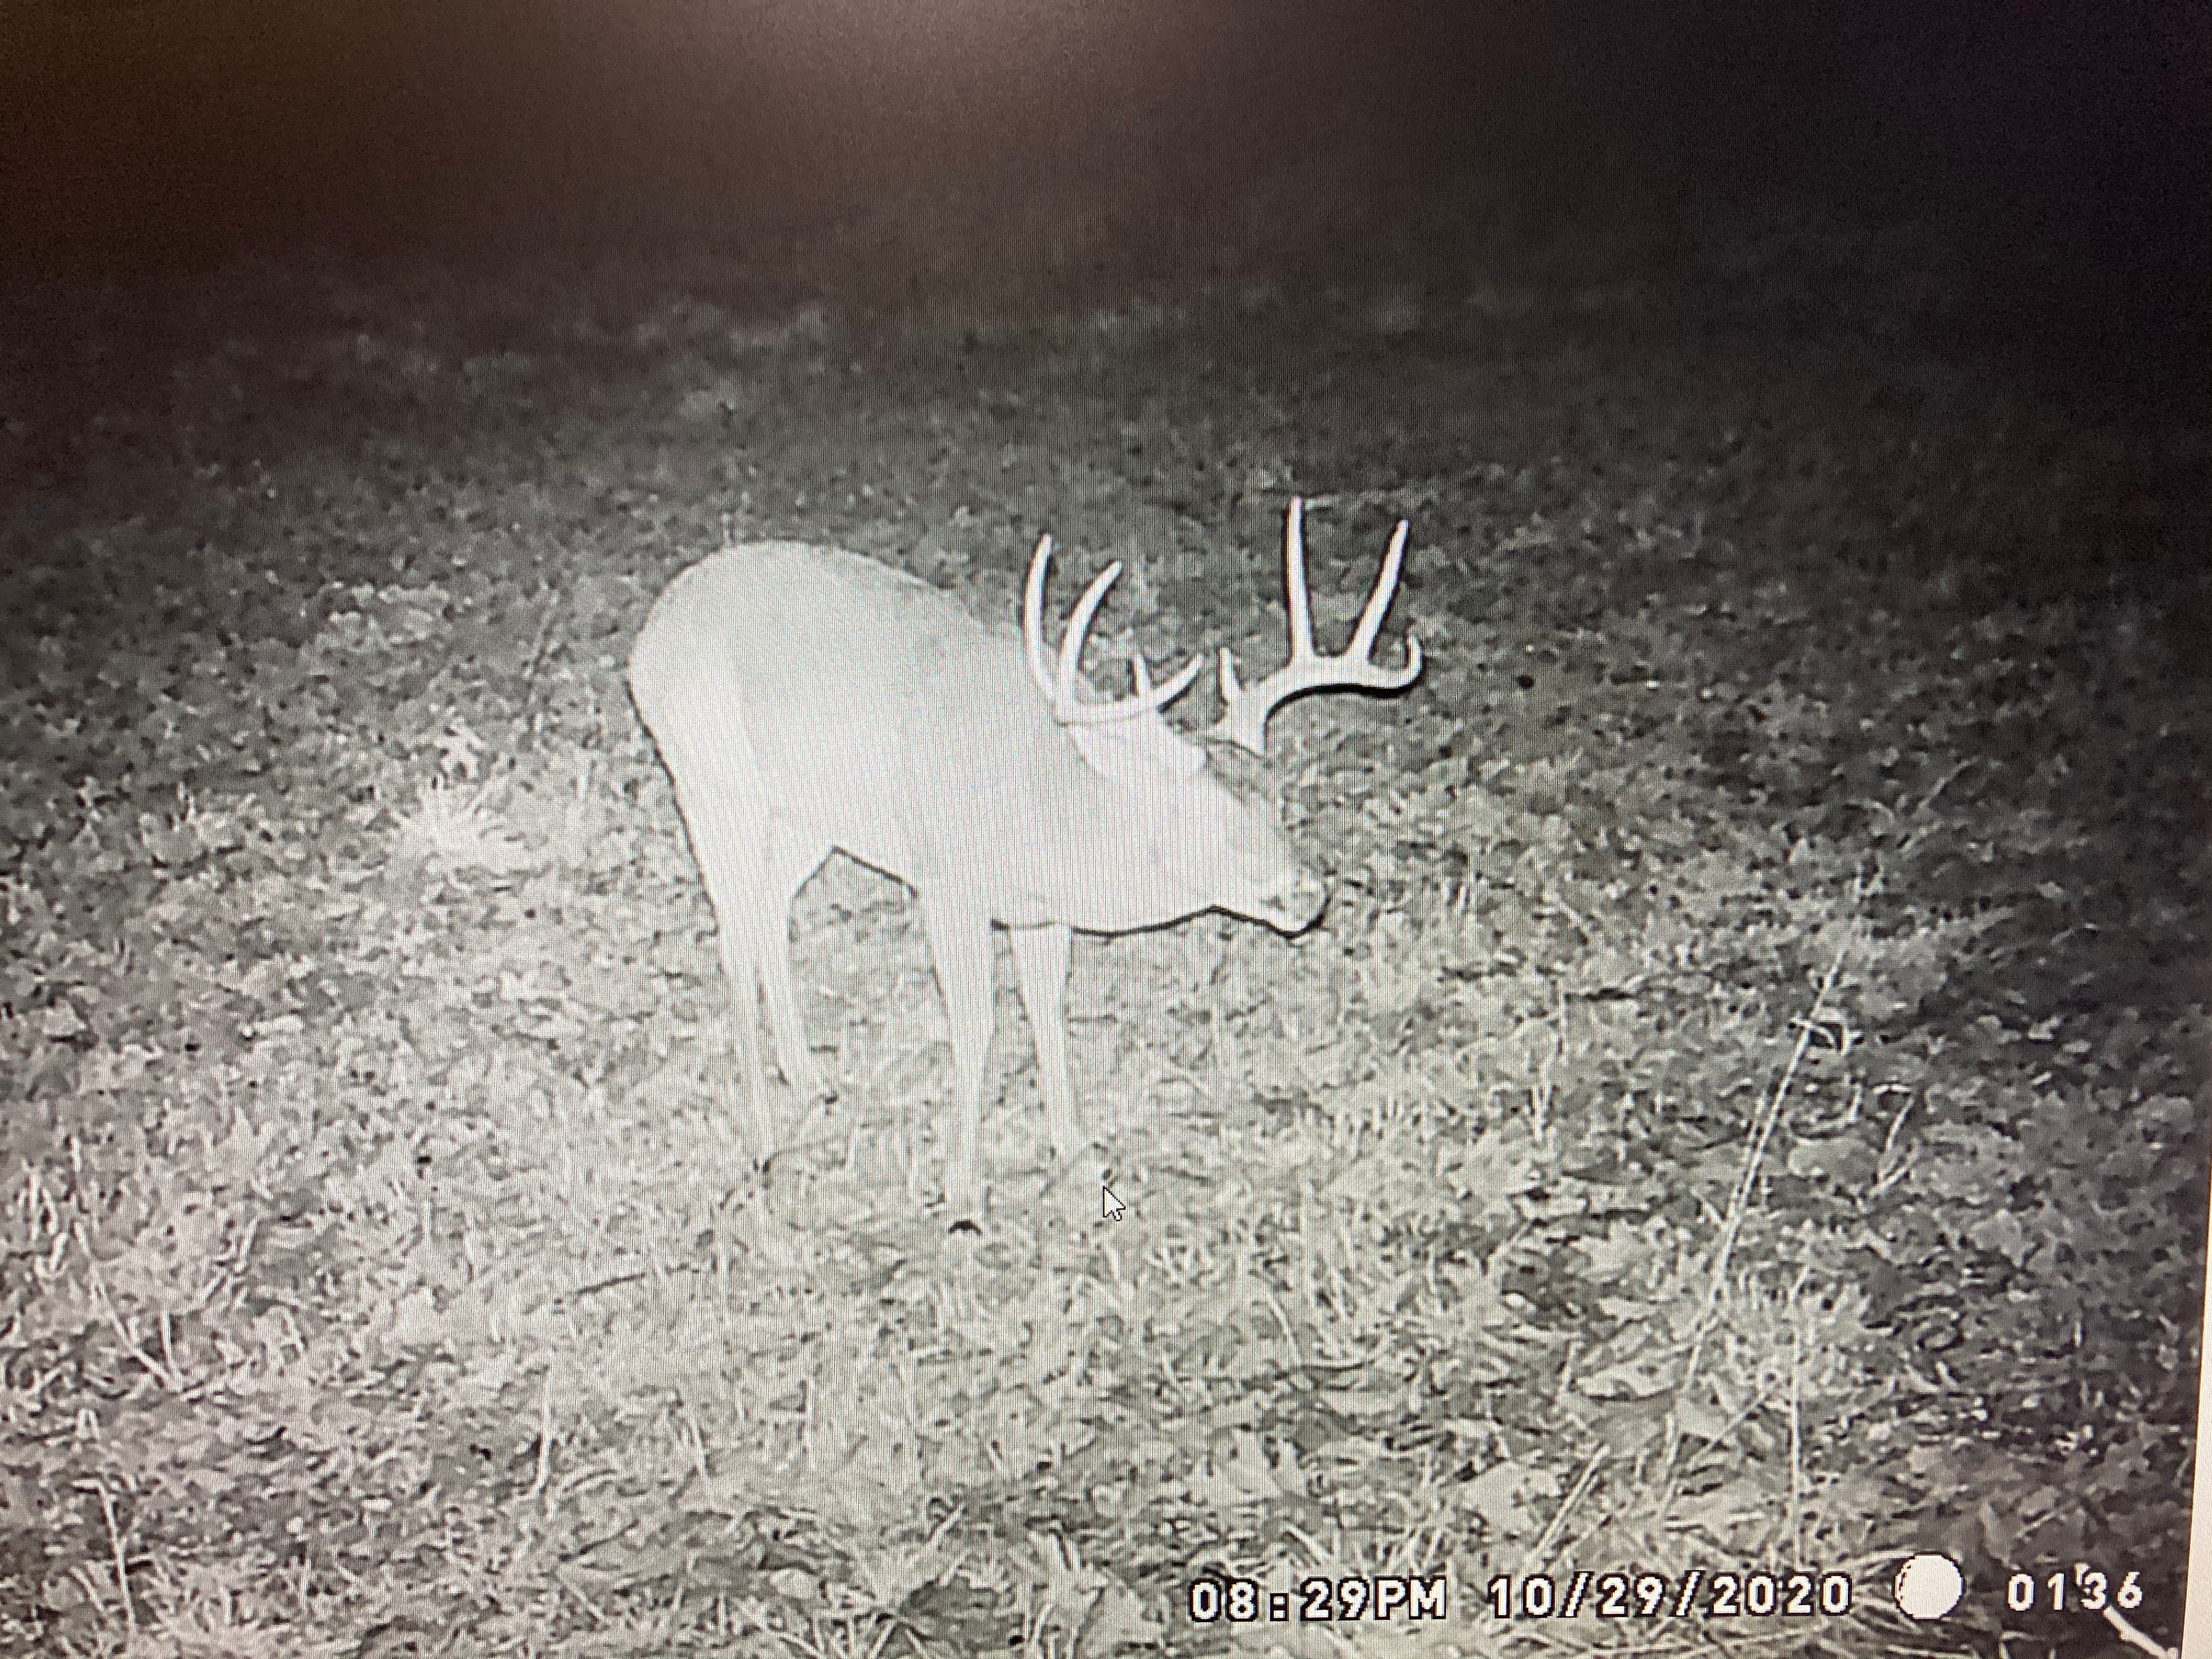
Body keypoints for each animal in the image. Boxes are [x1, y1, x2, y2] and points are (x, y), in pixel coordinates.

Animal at [627, 497, 1423, 1212]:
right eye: (1194, 815)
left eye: (1277, 795)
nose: (1308, 894)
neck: (1056, 817)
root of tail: (649, 634)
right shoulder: (948, 881)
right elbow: (975, 1024)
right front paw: (962, 1191)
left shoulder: (1040, 913)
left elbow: (1047, 1009)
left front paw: (1077, 1152)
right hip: (710, 780)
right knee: (733, 929)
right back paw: (762, 1135)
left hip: (810, 814)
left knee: (767, 912)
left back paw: (809, 1078)